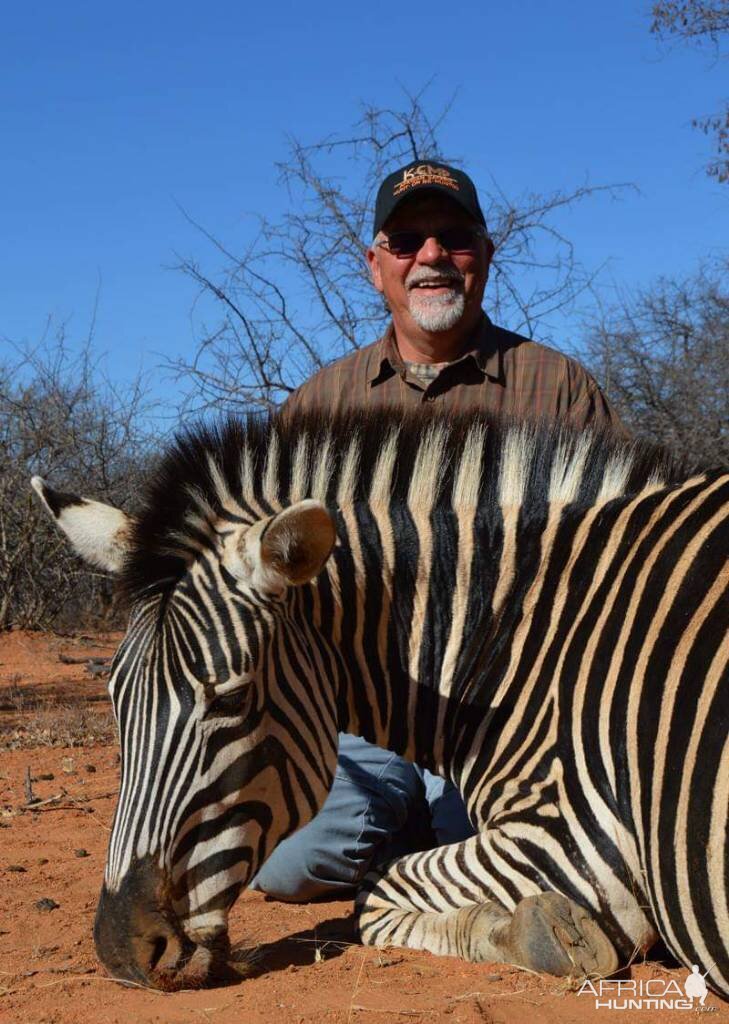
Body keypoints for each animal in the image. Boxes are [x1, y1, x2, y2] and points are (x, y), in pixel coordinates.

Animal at [32, 407, 729, 991]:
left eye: (230, 701)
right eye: (115, 699)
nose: (122, 948)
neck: (532, 633)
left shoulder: (571, 841)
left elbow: (373, 892)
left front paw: (537, 932)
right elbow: (376, 887)